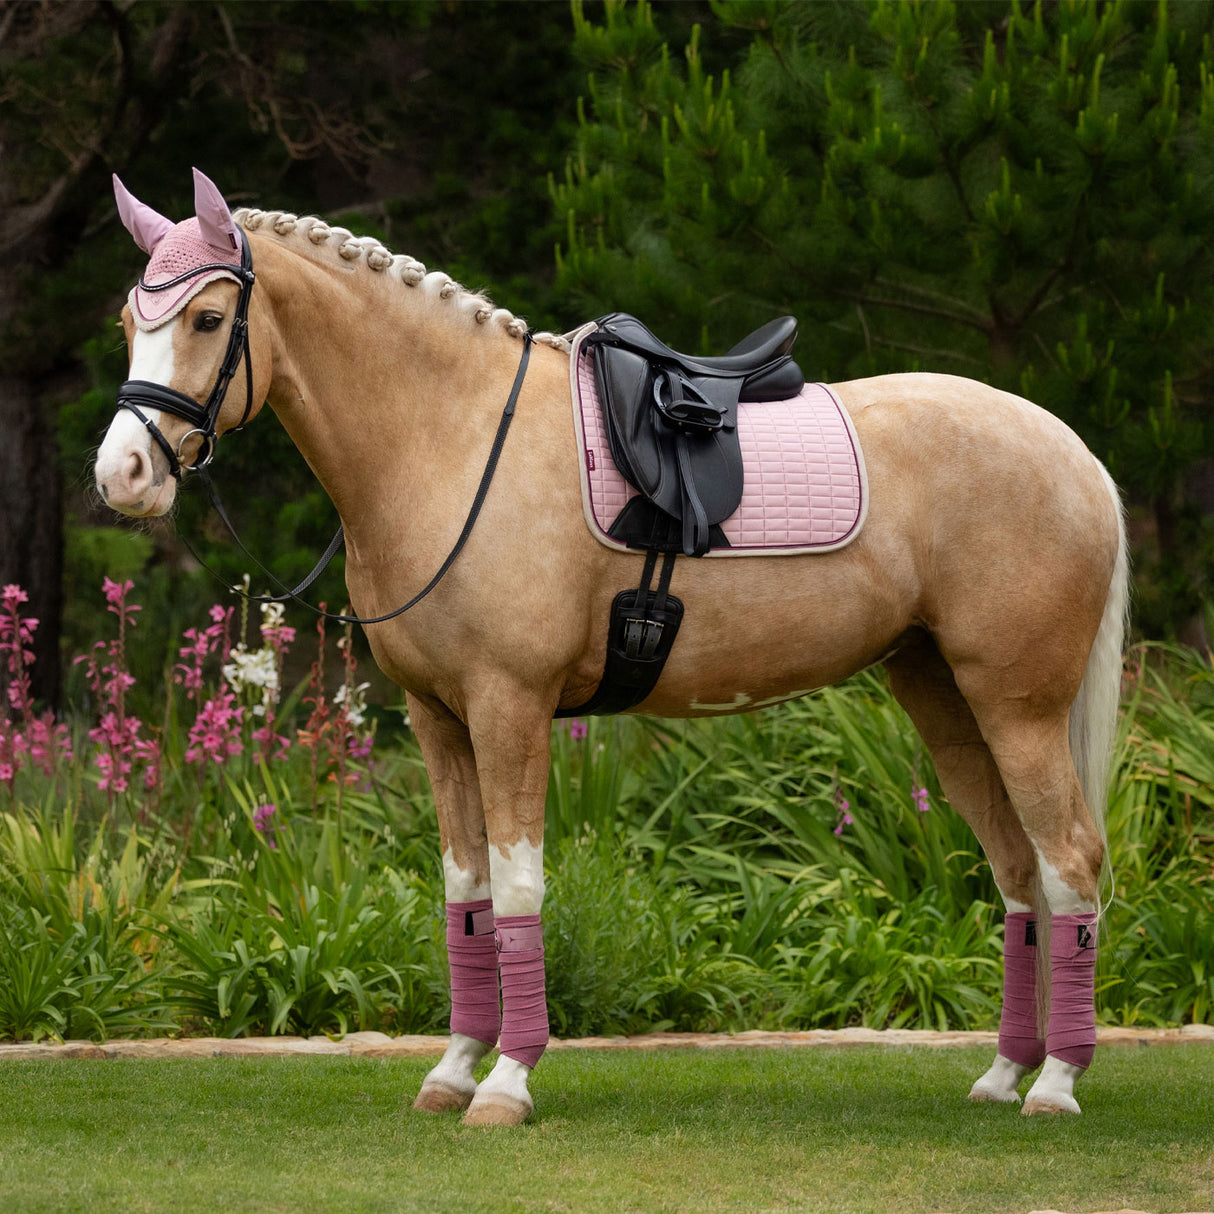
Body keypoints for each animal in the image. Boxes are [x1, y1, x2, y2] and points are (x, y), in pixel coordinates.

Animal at [97, 171, 1126, 1126]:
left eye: (208, 316)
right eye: (127, 322)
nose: (123, 474)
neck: (454, 439)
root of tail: (1073, 450)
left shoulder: (509, 707)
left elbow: (518, 888)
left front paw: (507, 1082)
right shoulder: (438, 721)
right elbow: (466, 894)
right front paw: (453, 1071)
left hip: (1019, 708)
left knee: (1070, 862)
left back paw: (1058, 1084)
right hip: (944, 698)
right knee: (1019, 872)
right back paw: (1005, 1074)